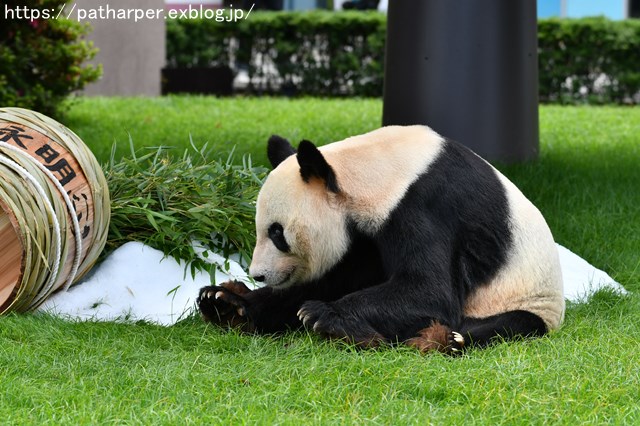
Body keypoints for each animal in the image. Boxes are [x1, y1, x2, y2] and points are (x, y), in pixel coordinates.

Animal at [198, 125, 564, 352]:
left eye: (277, 233)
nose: (258, 274)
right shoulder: (364, 237)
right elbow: (334, 278)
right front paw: (227, 300)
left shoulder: (422, 205)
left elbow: (430, 292)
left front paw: (324, 315)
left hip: (526, 298)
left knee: (505, 325)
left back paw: (445, 339)